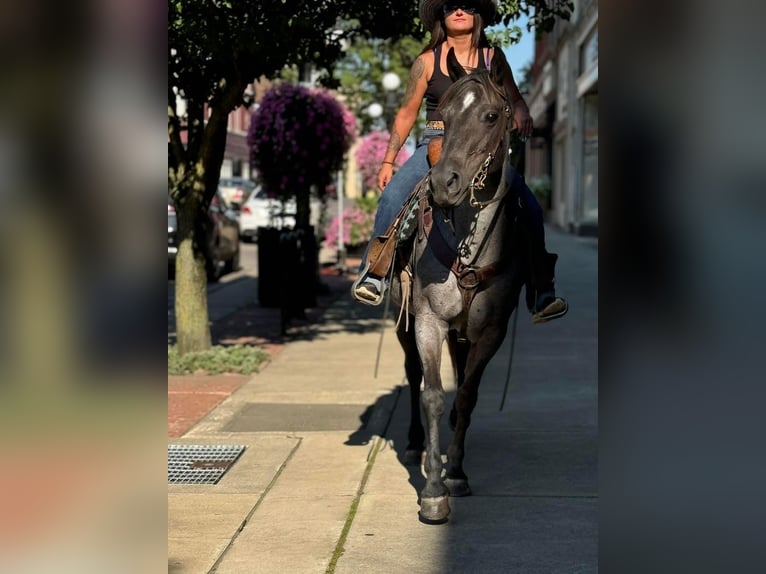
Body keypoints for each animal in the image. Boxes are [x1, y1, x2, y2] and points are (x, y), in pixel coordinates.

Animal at [390, 48, 528, 528]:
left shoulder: (492, 330)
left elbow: (466, 395)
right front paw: (433, 491)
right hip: (405, 323)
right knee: (413, 374)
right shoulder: (428, 320)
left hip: (463, 331)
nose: (442, 184)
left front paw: (457, 472)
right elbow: (431, 393)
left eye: (491, 115)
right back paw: (416, 444)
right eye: (444, 117)